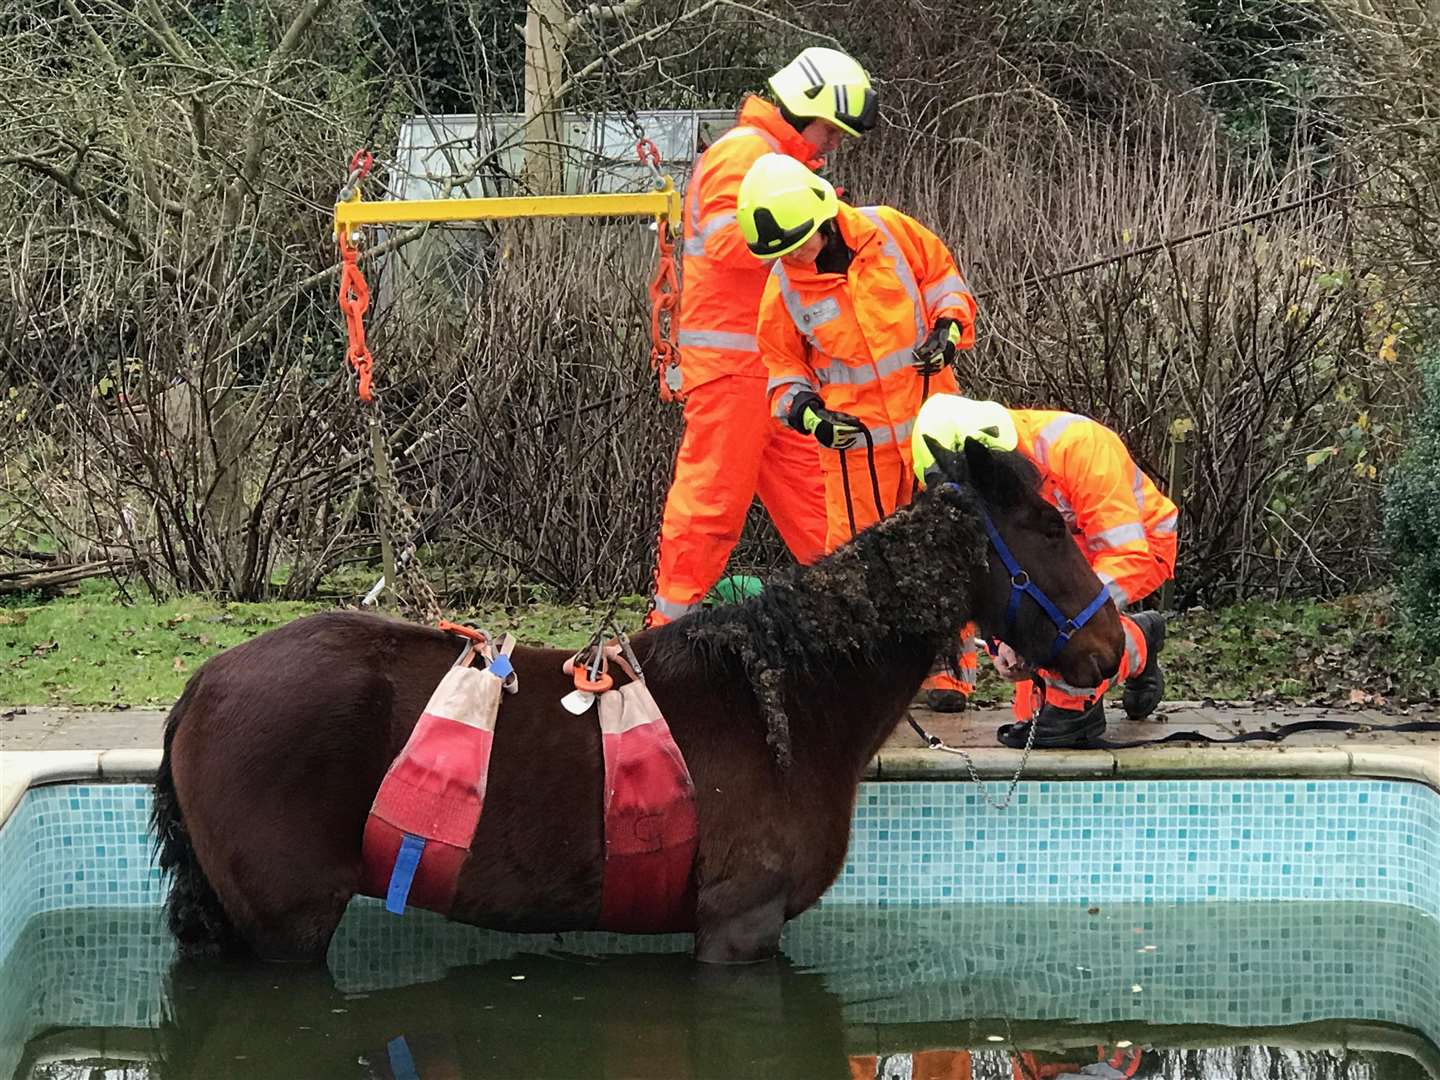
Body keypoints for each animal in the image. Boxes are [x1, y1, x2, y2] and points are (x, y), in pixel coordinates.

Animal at [157, 434, 1123, 967]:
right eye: (1050, 527)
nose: (1109, 647)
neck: (784, 705)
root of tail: (202, 684)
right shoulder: (739, 926)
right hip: (288, 926)